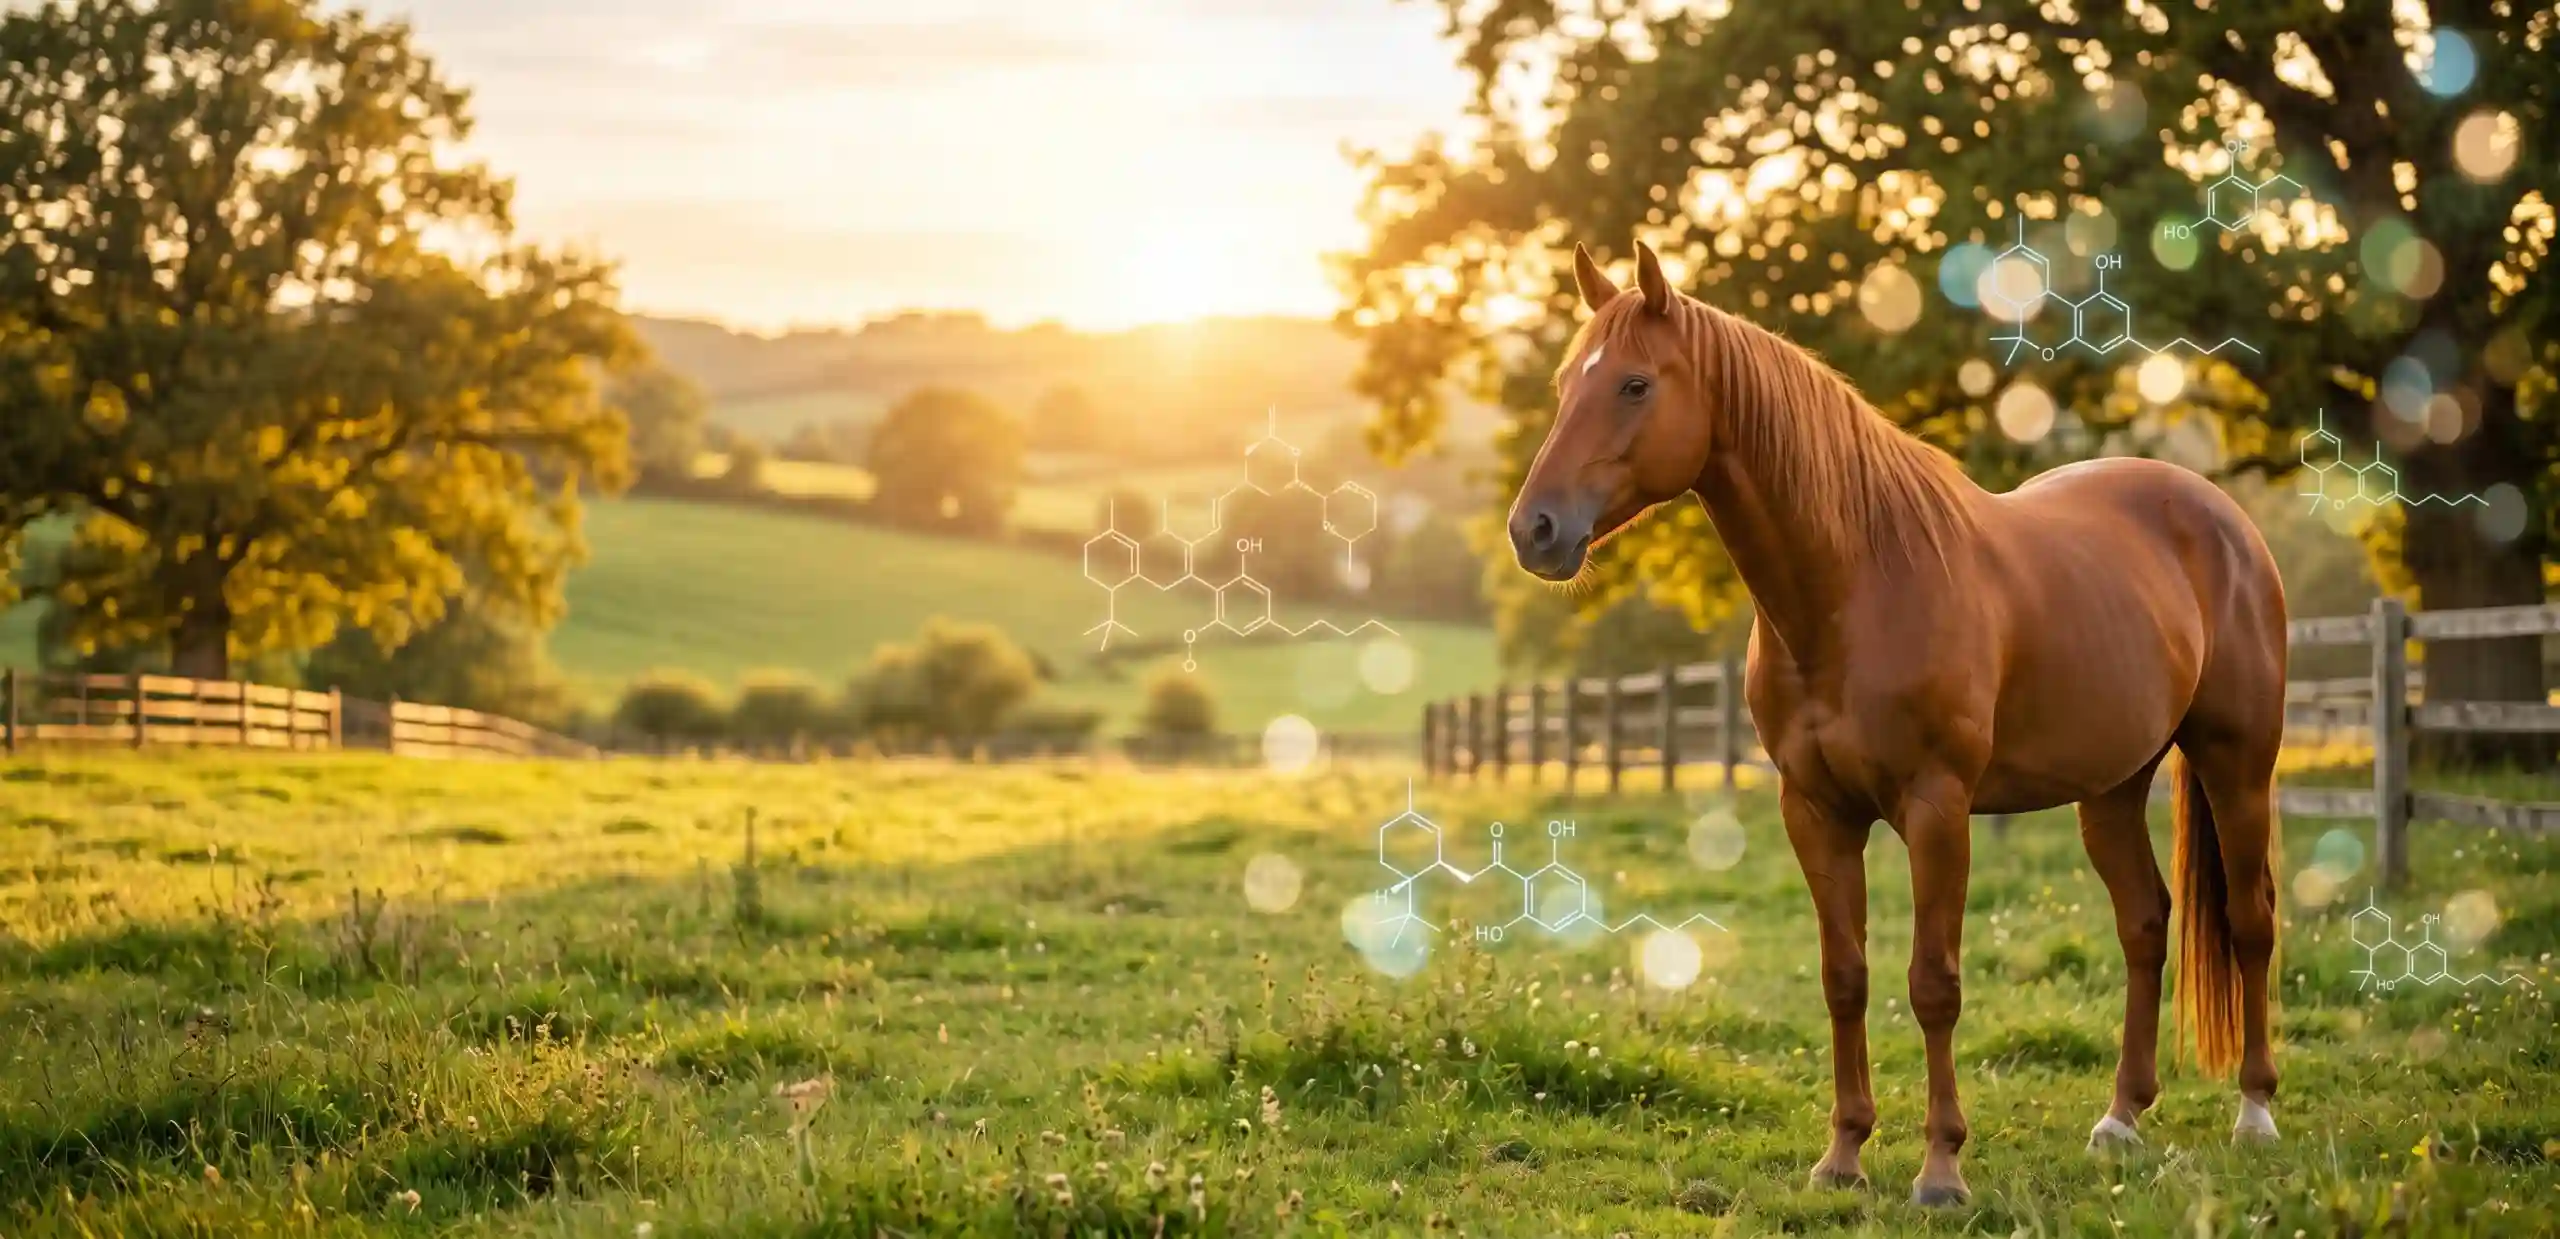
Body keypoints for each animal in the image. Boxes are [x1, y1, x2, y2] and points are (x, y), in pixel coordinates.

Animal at [1504, 240, 2288, 1207]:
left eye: (1635, 384)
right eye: (1564, 385)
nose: (1534, 530)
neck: (1856, 587)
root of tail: (2222, 517)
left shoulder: (1936, 808)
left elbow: (1933, 983)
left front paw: (1941, 1168)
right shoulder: (1816, 813)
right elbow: (1845, 977)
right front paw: (1842, 1155)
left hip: (2237, 762)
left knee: (2250, 920)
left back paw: (2255, 1113)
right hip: (2110, 786)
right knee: (2144, 923)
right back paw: (2120, 1120)